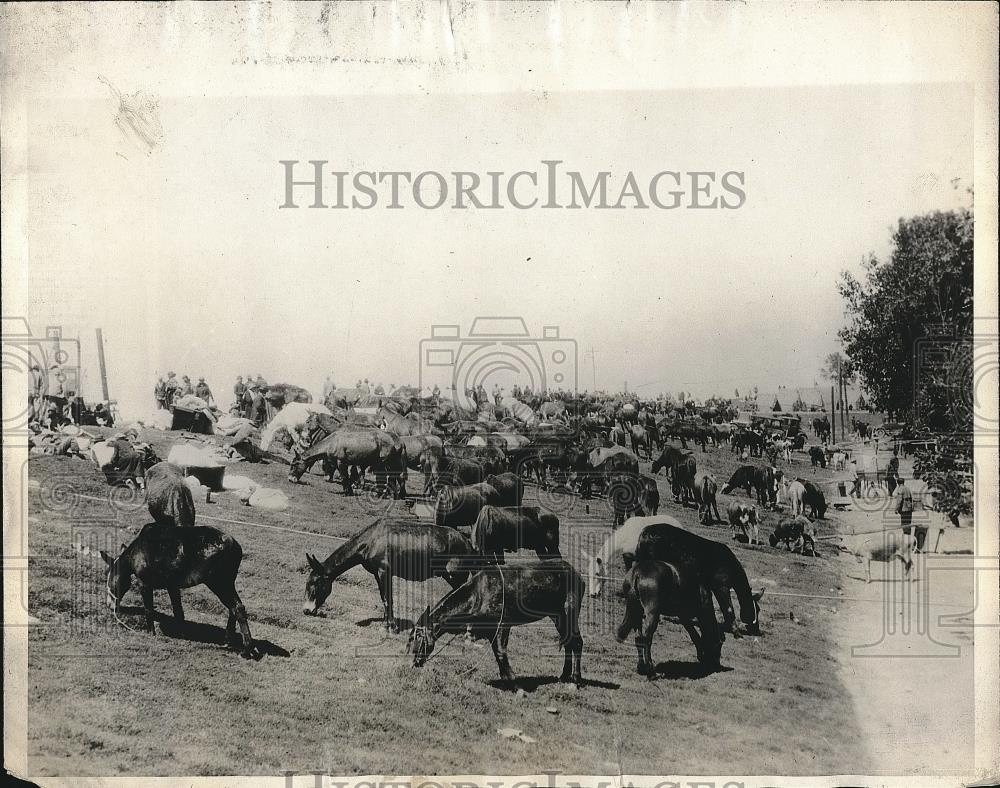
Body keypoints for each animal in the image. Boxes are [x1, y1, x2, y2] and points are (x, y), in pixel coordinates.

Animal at [100, 524, 256, 660]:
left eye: (109, 575)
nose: (109, 604)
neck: (136, 552)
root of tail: (234, 544)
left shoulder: (144, 583)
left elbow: (149, 609)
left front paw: (151, 632)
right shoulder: (172, 586)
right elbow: (178, 611)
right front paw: (181, 634)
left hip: (219, 584)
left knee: (238, 608)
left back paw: (246, 650)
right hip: (227, 584)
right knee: (232, 609)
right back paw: (228, 641)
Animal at [302, 516, 474, 636]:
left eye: (315, 583)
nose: (306, 610)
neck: (371, 541)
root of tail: (467, 543)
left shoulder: (384, 571)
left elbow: (387, 598)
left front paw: (391, 627)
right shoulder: (377, 574)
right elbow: (383, 598)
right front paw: (386, 623)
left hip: (455, 575)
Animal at [408, 556, 584, 688]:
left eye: (418, 635)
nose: (415, 661)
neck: (479, 593)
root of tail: (576, 573)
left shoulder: (503, 625)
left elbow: (500, 652)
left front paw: (515, 684)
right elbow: (497, 654)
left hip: (569, 611)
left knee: (577, 642)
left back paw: (575, 681)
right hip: (557, 616)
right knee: (568, 642)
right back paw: (564, 676)